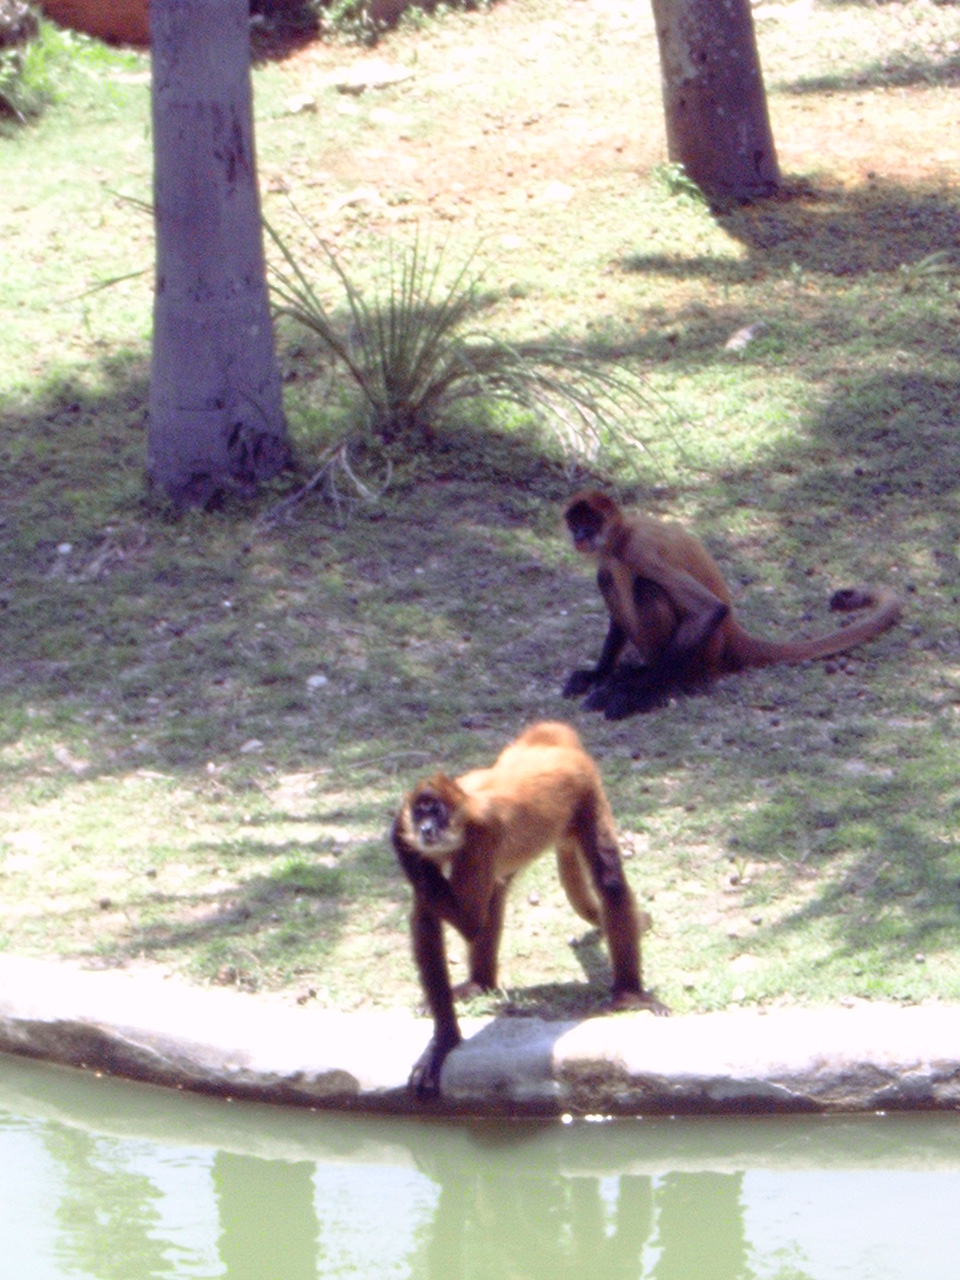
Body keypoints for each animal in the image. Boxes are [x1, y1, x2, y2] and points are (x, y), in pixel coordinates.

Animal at [391, 721, 667, 1099]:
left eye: (437, 813)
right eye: (421, 813)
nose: (425, 829)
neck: (463, 809)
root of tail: (550, 737)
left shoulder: (480, 837)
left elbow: (470, 920)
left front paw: (395, 834)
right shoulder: (431, 853)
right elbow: (426, 919)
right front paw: (443, 1041)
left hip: (586, 793)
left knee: (609, 882)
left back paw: (628, 994)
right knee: (496, 889)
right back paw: (479, 984)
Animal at [563, 490, 902, 720]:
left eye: (590, 522)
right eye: (575, 524)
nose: (580, 535)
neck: (621, 536)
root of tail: (732, 634)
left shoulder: (639, 549)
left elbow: (709, 609)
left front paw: (633, 696)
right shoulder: (611, 555)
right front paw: (598, 674)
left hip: (706, 652)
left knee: (647, 588)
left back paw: (656, 683)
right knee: (607, 577)